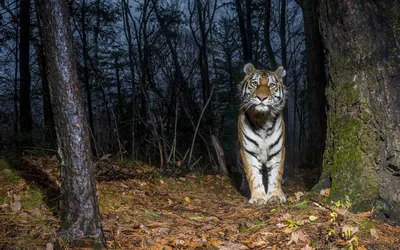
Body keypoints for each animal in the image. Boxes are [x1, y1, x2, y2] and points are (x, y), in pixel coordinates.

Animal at [238, 63, 288, 205]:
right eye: (255, 83)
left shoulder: (278, 150)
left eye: (271, 85)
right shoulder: (248, 151)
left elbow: (276, 174)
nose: (261, 98)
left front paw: (276, 196)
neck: (263, 120)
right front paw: (258, 198)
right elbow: (253, 174)